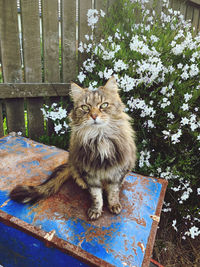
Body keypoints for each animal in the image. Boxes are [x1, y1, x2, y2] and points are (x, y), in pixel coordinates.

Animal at [10, 77, 137, 220]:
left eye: (104, 105)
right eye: (85, 107)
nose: (94, 116)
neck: (100, 138)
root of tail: (70, 164)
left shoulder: (117, 171)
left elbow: (113, 192)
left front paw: (114, 205)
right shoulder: (89, 173)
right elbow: (96, 196)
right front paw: (96, 210)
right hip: (76, 166)